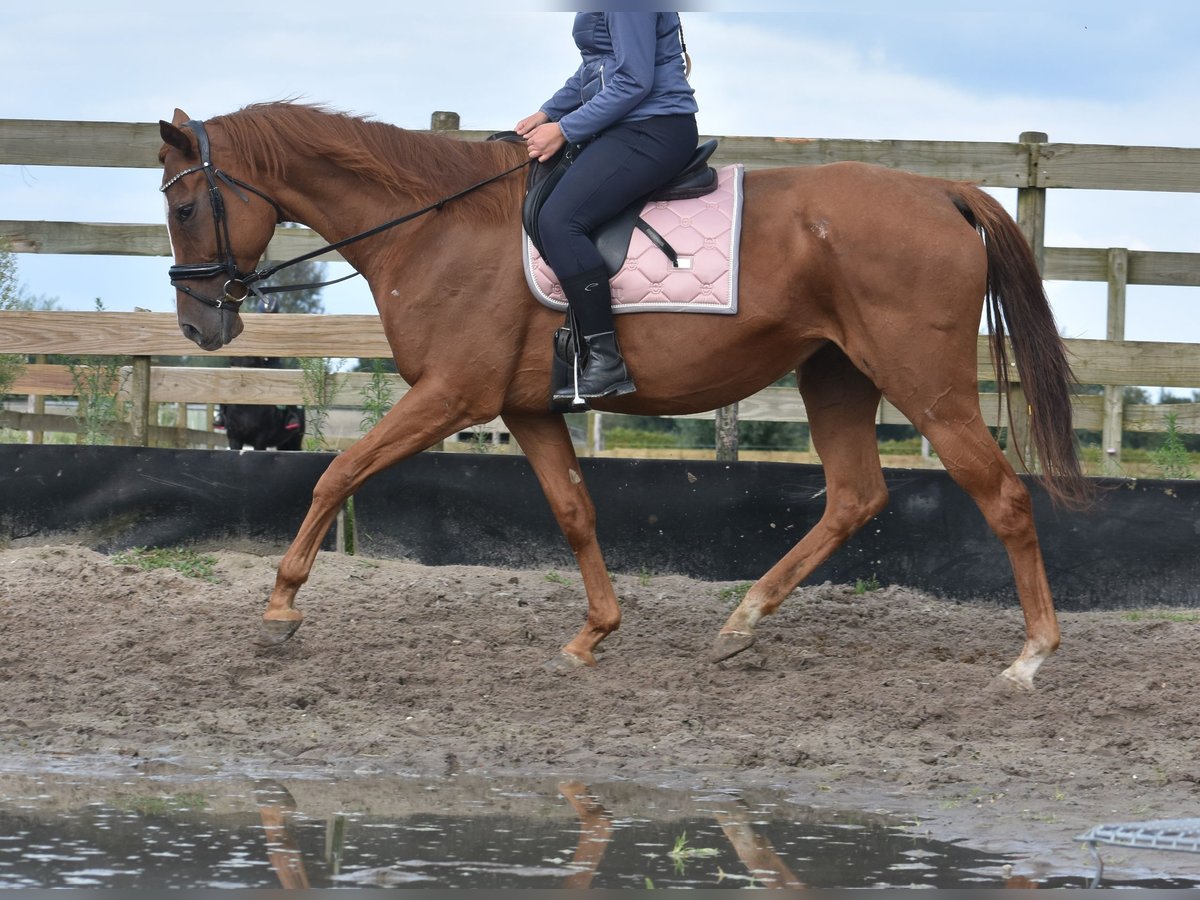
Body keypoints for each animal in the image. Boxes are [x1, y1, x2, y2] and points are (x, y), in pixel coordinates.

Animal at [157, 100, 1089, 691]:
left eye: (185, 206)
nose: (200, 327)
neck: (436, 225)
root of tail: (940, 189)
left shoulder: (451, 395)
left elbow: (338, 471)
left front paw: (280, 606)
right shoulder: (526, 407)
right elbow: (575, 512)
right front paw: (592, 636)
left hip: (924, 381)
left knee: (1002, 496)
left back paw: (1031, 658)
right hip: (835, 376)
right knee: (855, 497)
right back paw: (741, 624)